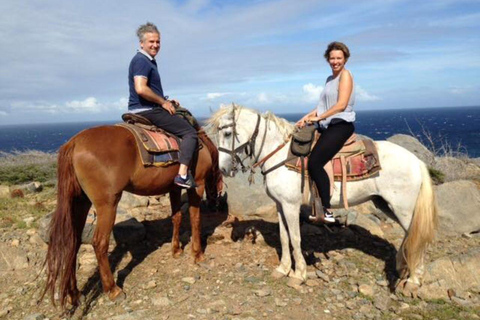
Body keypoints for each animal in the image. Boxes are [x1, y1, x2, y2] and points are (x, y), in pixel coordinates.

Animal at [41, 124, 221, 308]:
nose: (216, 205)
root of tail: (74, 143)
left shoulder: (174, 188)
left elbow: (176, 218)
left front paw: (176, 250)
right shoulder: (198, 184)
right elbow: (195, 219)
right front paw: (198, 254)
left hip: (80, 201)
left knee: (73, 242)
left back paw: (74, 294)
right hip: (107, 204)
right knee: (99, 243)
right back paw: (113, 290)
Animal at [208, 104, 436, 296]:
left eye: (227, 133)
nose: (223, 169)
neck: (279, 154)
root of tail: (417, 161)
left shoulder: (291, 206)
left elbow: (295, 238)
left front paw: (298, 274)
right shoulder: (280, 205)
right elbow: (283, 236)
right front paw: (283, 269)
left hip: (404, 209)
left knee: (418, 238)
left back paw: (413, 281)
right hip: (387, 205)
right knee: (409, 236)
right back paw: (402, 267)